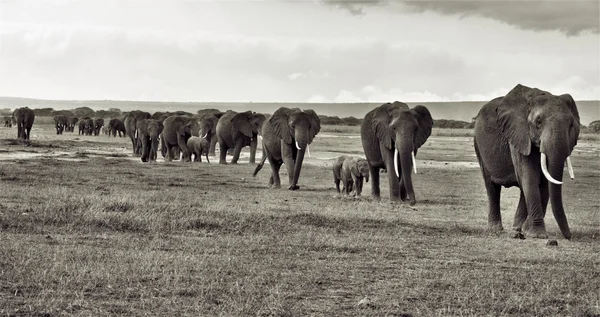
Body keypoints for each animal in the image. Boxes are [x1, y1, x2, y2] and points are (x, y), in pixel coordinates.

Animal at [474, 82, 580, 238]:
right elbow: (530, 177)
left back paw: (518, 229)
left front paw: (529, 231)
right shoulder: (518, 135)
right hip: (478, 145)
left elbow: (542, 182)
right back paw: (496, 230)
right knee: (492, 187)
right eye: (538, 122)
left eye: (571, 125)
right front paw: (538, 235)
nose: (569, 236)